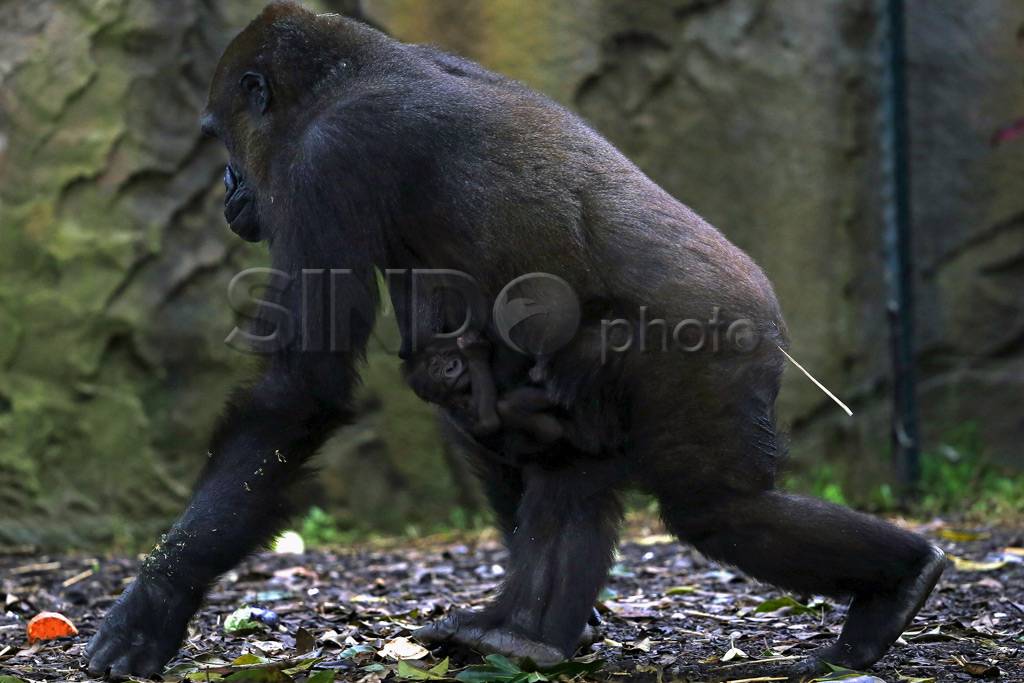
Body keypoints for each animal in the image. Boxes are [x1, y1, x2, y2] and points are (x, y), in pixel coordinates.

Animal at [86, 4, 946, 680]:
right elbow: (452, 373)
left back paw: (899, 582)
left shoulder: (323, 162)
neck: (343, 75)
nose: (229, 191)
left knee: (718, 507)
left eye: (223, 138)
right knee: (575, 467)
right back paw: (529, 635)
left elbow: (300, 390)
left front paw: (157, 597)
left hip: (718, 342)